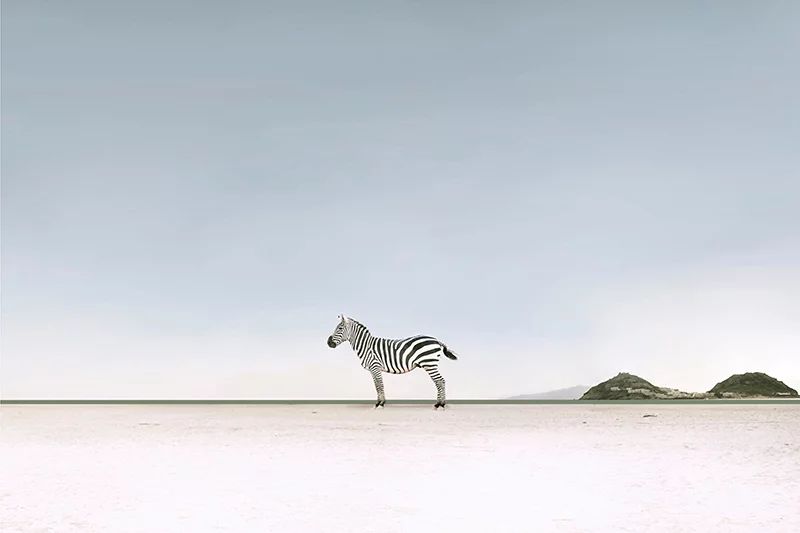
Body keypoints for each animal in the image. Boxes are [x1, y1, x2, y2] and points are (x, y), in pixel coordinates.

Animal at [326, 314, 458, 409]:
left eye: (340, 328)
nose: (329, 343)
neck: (366, 346)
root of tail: (437, 340)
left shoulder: (375, 366)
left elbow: (379, 385)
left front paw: (380, 404)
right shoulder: (374, 369)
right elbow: (377, 385)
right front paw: (379, 403)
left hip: (430, 364)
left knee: (440, 381)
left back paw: (441, 405)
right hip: (430, 364)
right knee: (439, 382)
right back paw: (437, 404)